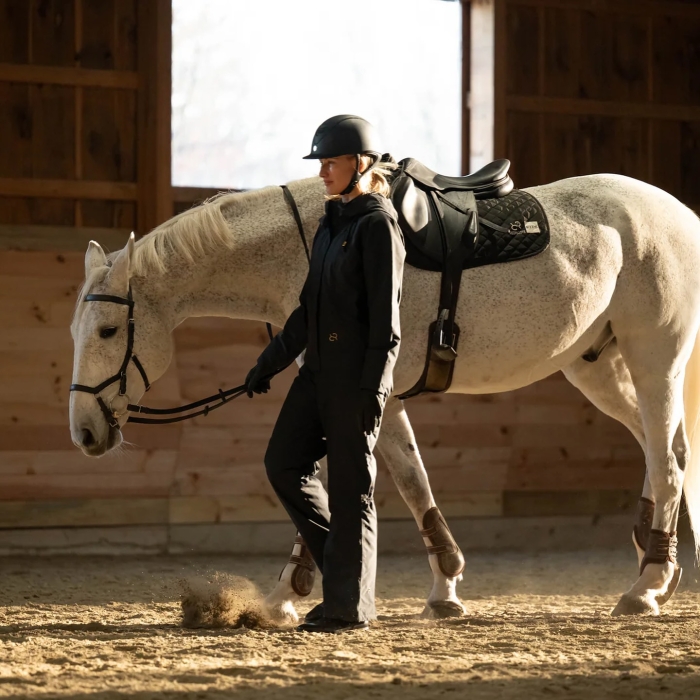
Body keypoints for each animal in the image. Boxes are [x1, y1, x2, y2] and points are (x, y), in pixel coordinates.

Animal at [69, 172, 700, 620]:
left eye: (108, 332)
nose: (85, 432)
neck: (311, 246)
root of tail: (681, 214)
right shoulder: (376, 397)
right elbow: (409, 479)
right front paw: (444, 587)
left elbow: (340, 484)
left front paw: (290, 590)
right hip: (600, 369)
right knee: (665, 451)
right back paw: (657, 568)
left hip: (655, 362)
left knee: (667, 460)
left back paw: (646, 585)